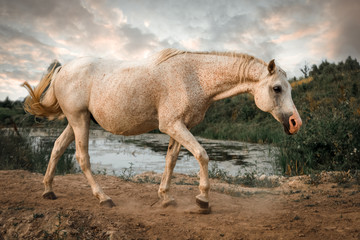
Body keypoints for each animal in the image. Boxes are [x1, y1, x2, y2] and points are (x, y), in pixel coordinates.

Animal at [23, 48, 300, 212]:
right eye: (277, 88)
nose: (295, 123)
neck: (194, 76)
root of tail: (63, 69)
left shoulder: (179, 127)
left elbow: (171, 161)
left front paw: (166, 197)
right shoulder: (172, 125)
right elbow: (202, 155)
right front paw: (203, 200)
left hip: (76, 121)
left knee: (57, 148)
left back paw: (48, 191)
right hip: (79, 120)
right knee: (82, 158)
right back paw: (103, 198)